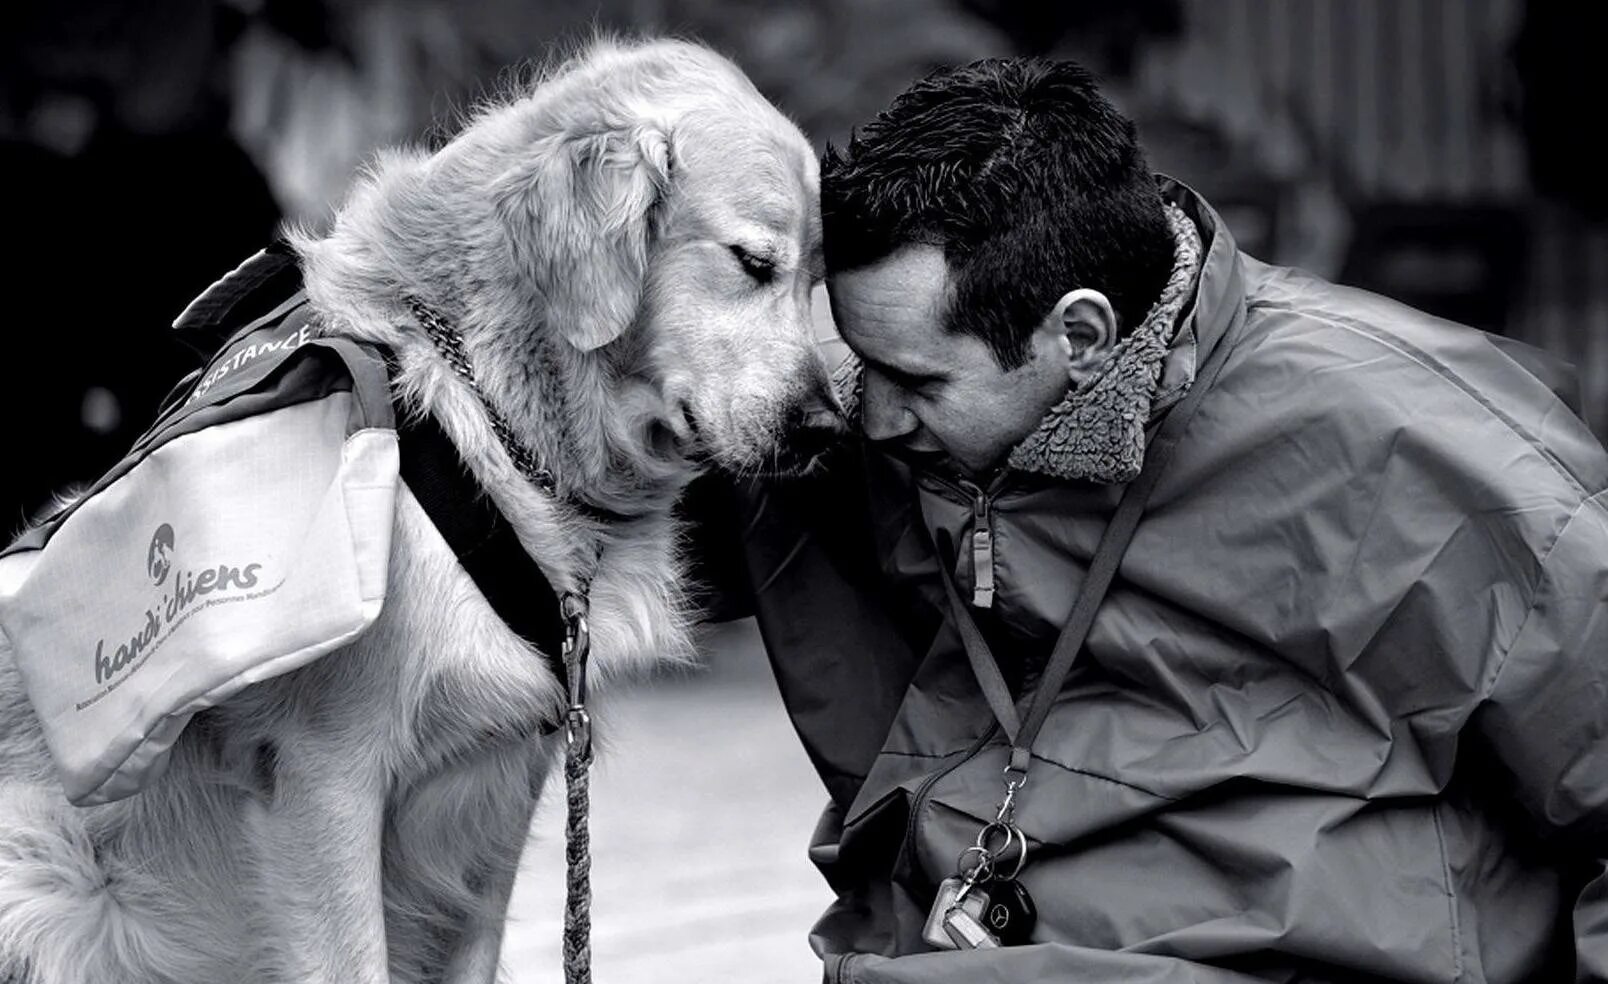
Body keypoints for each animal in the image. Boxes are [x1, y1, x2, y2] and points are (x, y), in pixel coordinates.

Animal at [0, 38, 836, 984]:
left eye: (815, 280)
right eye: (753, 262)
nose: (826, 427)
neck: (478, 405)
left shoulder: (499, 790)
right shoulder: (325, 777)